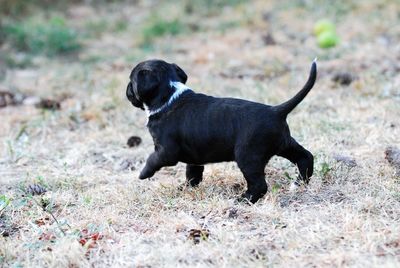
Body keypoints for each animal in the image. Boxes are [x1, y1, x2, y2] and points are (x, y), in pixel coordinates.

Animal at [126, 59, 318, 203]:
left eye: (131, 80)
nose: (127, 91)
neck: (169, 95)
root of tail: (276, 111)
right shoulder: (194, 156)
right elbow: (192, 174)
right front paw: (186, 188)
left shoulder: (166, 151)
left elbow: (152, 159)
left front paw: (143, 174)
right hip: (285, 144)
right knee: (305, 157)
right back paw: (299, 183)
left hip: (248, 157)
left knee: (260, 185)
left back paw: (244, 199)